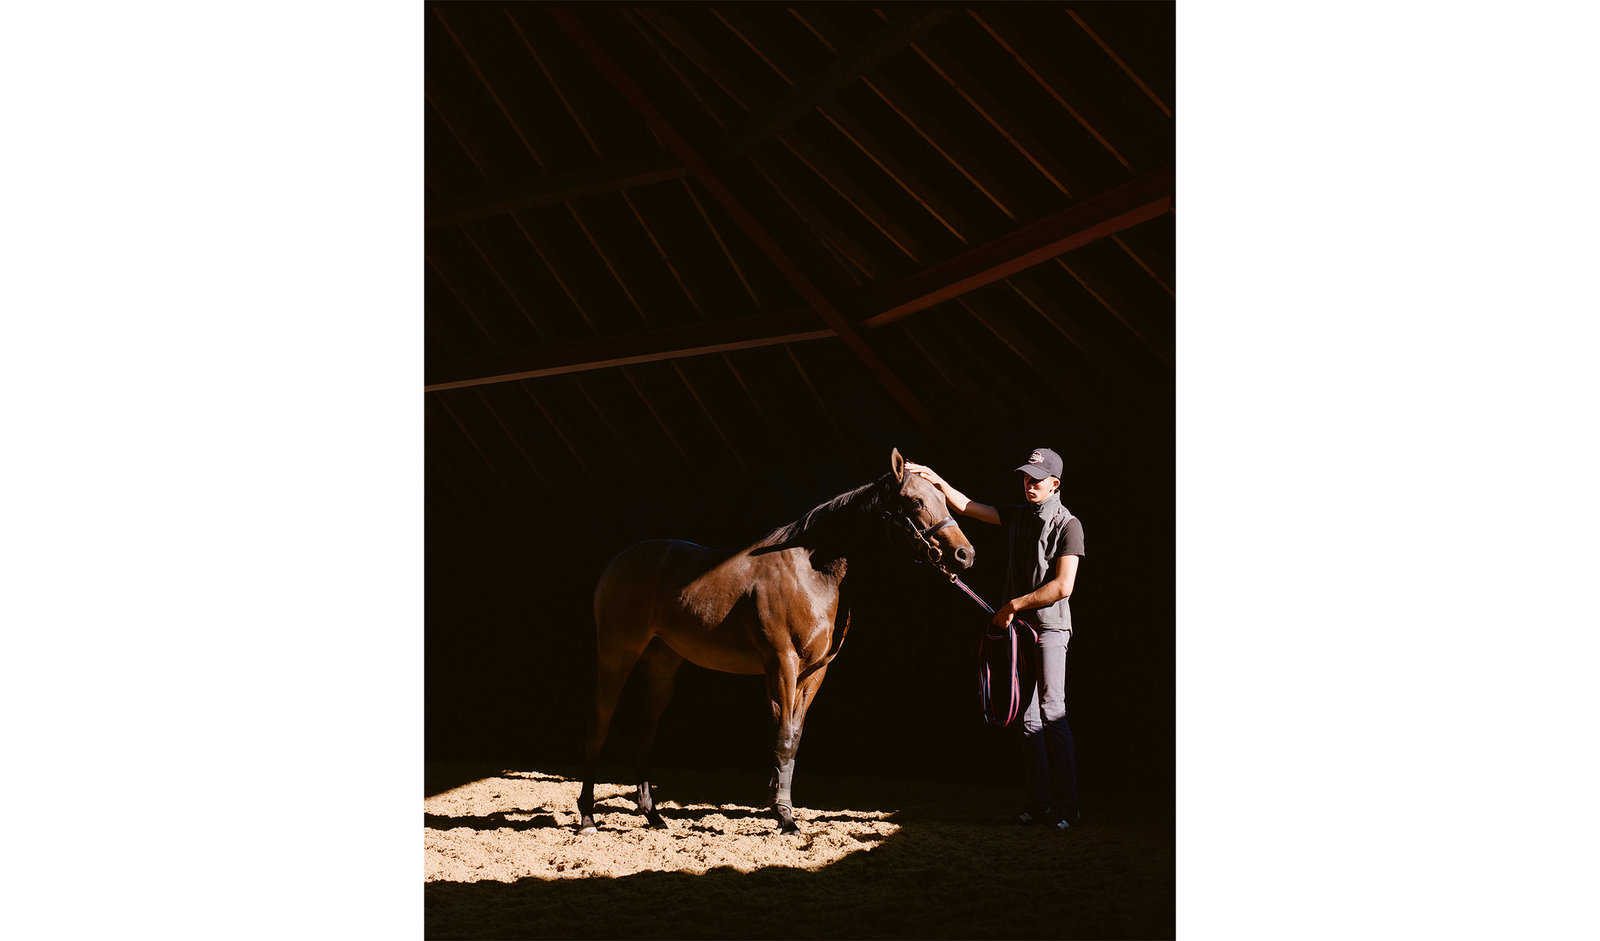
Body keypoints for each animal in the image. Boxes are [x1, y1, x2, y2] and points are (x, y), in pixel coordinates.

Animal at [576, 451, 972, 832]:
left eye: (943, 498)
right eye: (916, 501)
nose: (964, 555)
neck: (810, 574)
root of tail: (618, 562)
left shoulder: (815, 671)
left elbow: (793, 737)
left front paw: (783, 809)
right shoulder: (782, 663)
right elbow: (781, 737)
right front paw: (784, 817)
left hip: (661, 665)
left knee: (643, 732)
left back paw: (654, 817)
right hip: (617, 655)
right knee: (598, 725)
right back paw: (588, 818)